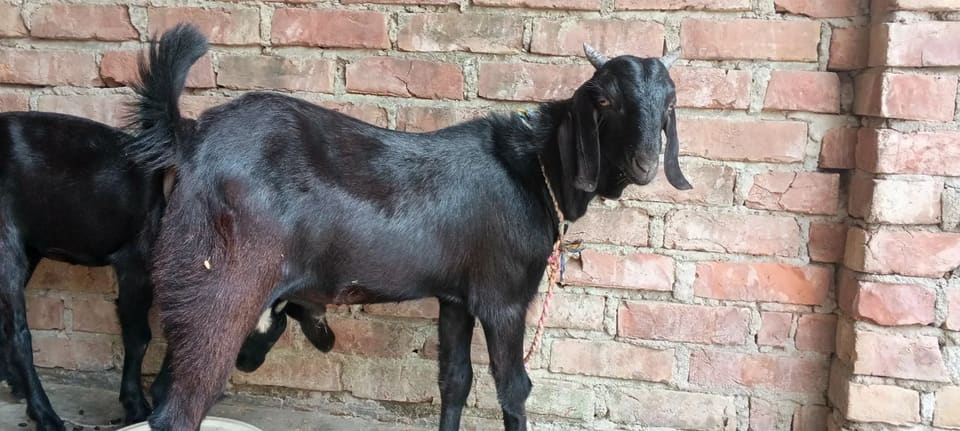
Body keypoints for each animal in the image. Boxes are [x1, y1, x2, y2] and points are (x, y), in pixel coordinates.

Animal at [0, 111, 327, 431]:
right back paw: (46, 415)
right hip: (7, 244)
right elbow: (140, 336)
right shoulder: (135, 266)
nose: (250, 363)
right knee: (18, 333)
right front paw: (137, 405)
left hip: (29, 249)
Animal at [130, 24, 690, 431]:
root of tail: (190, 137)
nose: (645, 163)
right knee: (183, 407)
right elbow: (514, 387)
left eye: (669, 102)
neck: (532, 169)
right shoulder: (503, 297)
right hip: (220, 288)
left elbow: (455, 380)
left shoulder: (456, 297)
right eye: (605, 100)